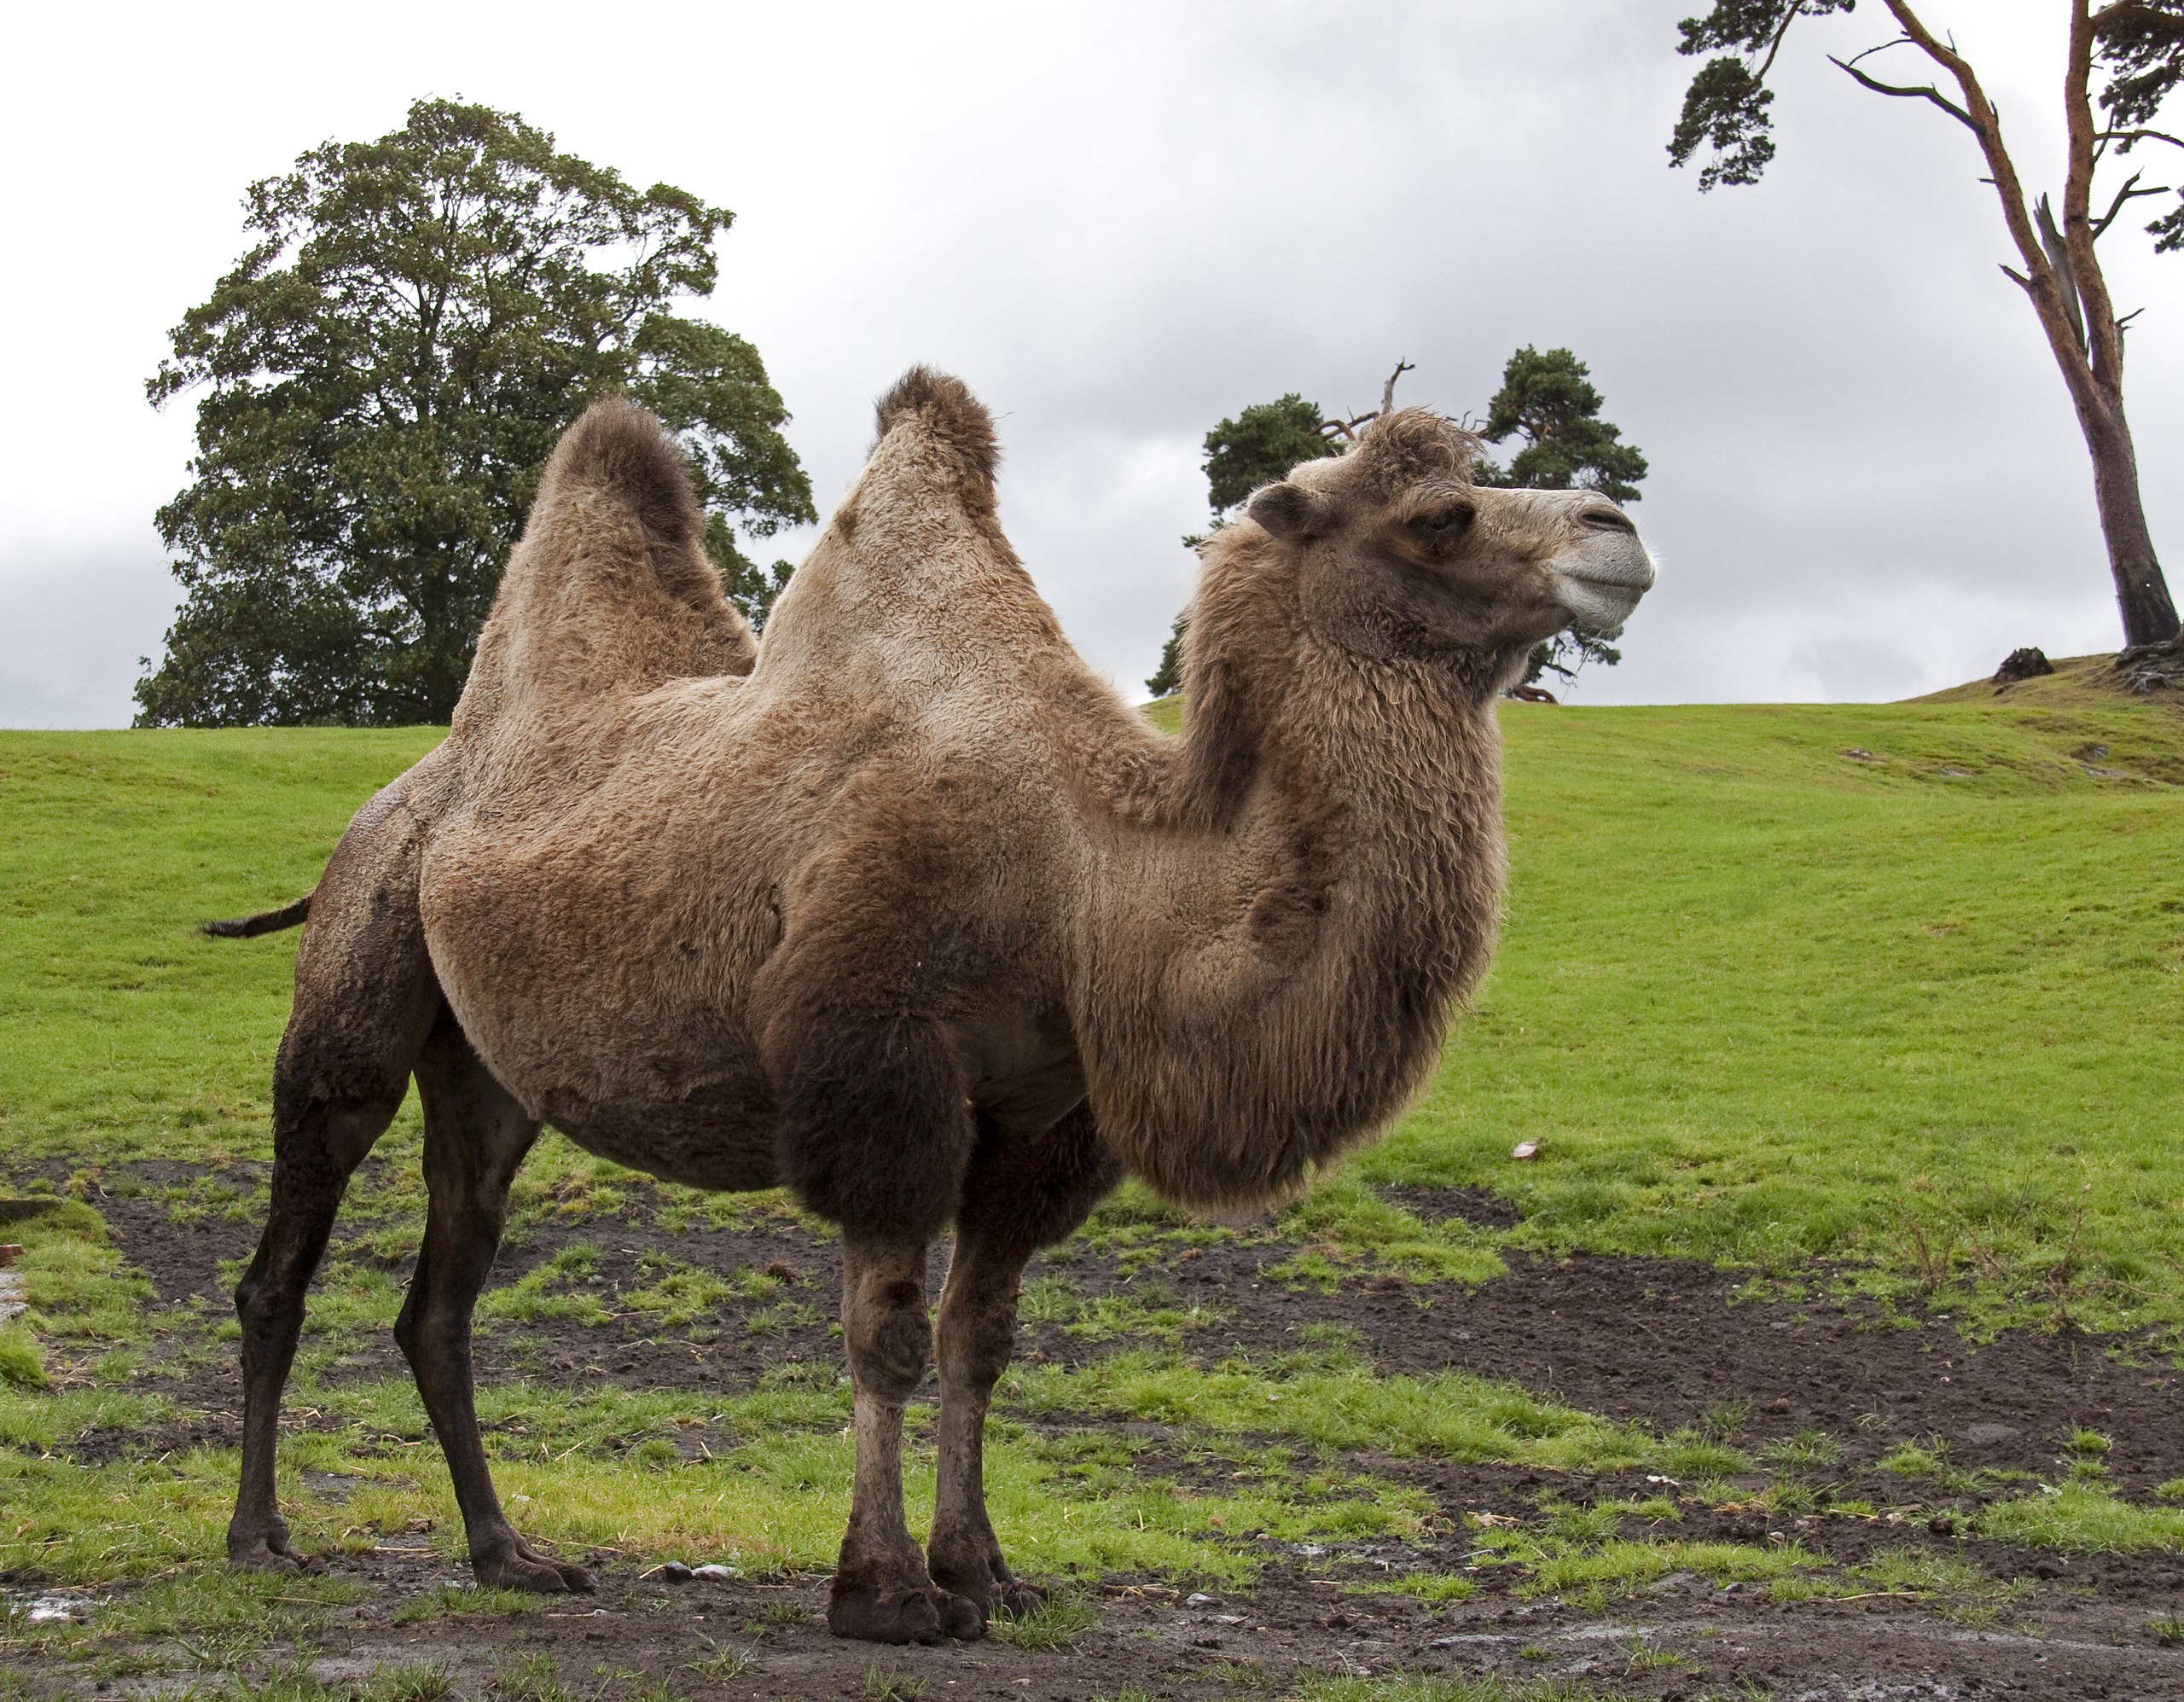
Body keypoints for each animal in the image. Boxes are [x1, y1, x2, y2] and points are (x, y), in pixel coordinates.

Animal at [217, 367, 1651, 1642]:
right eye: (1439, 516)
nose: (1620, 530)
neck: (1089, 875)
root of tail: (407, 795)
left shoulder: (1037, 1112)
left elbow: (983, 1338)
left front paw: (990, 1571)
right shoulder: (880, 1063)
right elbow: (887, 1338)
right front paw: (889, 1592)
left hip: (490, 1079)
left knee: (441, 1296)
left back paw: (507, 1551)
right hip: (359, 974)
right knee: (288, 1243)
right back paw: (260, 1536)